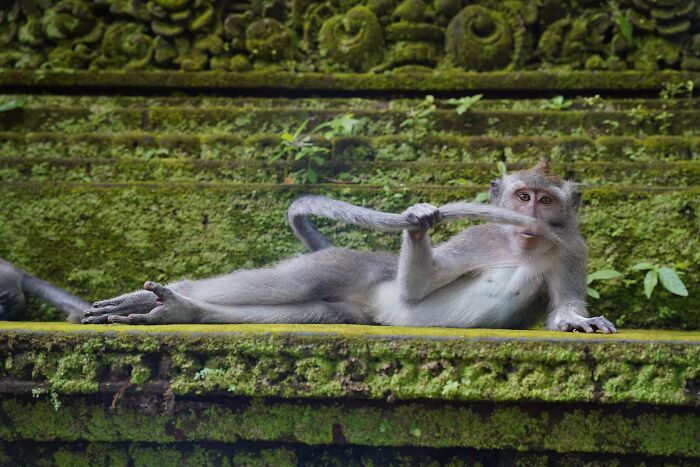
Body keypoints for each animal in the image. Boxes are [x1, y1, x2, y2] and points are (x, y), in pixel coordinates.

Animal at [81, 159, 616, 333]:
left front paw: (577, 320)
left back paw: (182, 311)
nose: (533, 218)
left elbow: (564, 305)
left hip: (350, 308)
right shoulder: (478, 238)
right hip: (348, 264)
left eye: (546, 199)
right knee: (289, 284)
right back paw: (164, 296)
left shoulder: (572, 249)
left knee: (311, 309)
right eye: (523, 196)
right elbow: (418, 290)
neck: (520, 246)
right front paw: (420, 220)